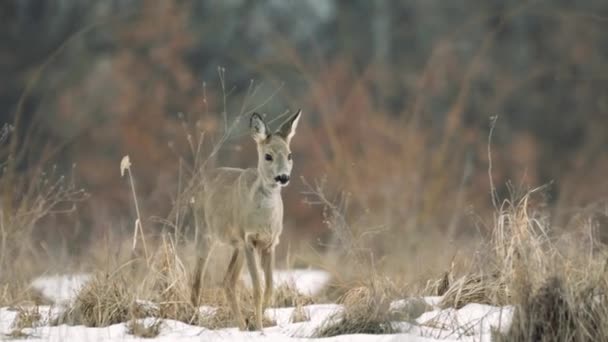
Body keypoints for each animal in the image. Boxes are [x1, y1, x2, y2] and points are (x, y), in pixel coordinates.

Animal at [191, 109, 300, 328]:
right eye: (268, 156)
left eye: (290, 155)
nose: (283, 177)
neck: (264, 219)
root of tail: (201, 182)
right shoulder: (249, 239)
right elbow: (257, 288)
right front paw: (259, 328)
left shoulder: (270, 243)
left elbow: (269, 288)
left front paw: (254, 321)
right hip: (205, 232)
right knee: (197, 281)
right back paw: (196, 322)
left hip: (237, 245)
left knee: (228, 281)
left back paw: (242, 325)